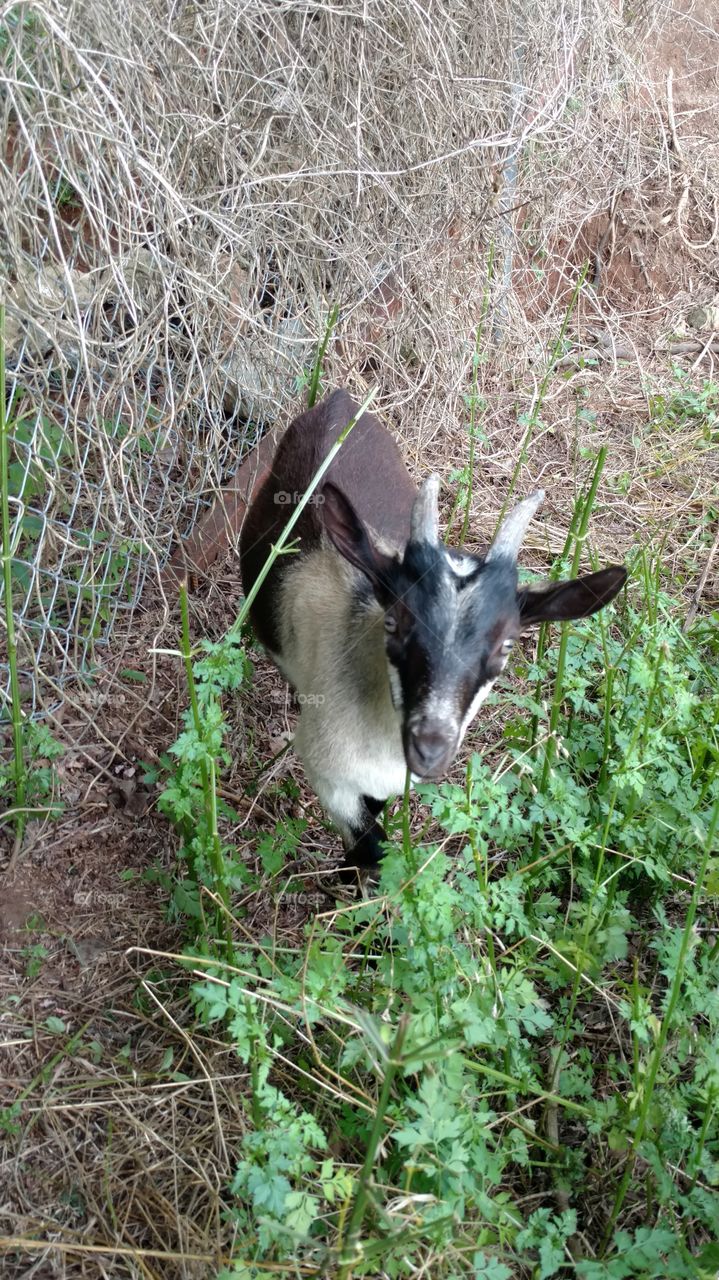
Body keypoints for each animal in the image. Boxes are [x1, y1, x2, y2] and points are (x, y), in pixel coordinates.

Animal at [240, 388, 627, 877]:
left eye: (507, 644)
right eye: (394, 621)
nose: (430, 749)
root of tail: (338, 399)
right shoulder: (329, 774)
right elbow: (371, 848)